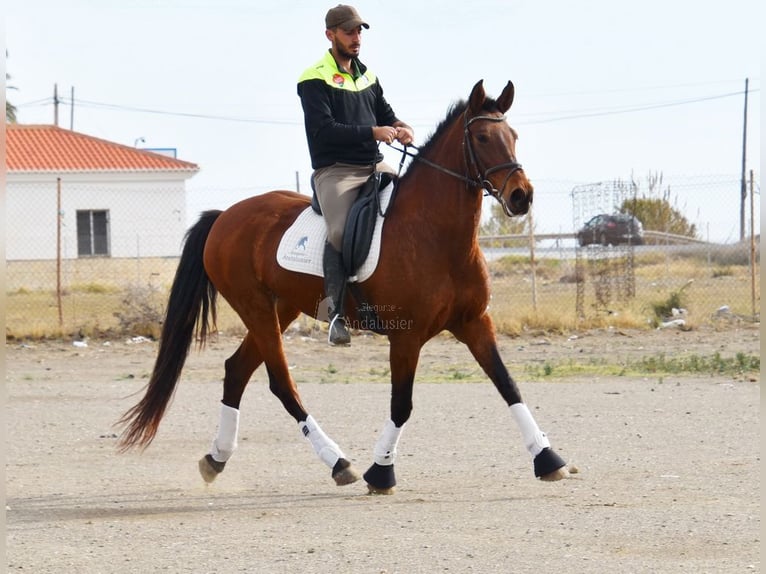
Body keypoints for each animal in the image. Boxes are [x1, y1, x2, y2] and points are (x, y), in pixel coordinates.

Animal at [118, 81, 568, 496]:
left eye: (513, 136)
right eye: (482, 138)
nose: (521, 196)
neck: (436, 236)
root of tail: (225, 215)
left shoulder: (474, 323)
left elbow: (508, 385)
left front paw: (548, 458)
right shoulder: (406, 337)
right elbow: (402, 404)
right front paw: (381, 472)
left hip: (282, 309)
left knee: (236, 371)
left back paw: (216, 458)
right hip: (257, 309)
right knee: (281, 383)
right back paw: (338, 462)